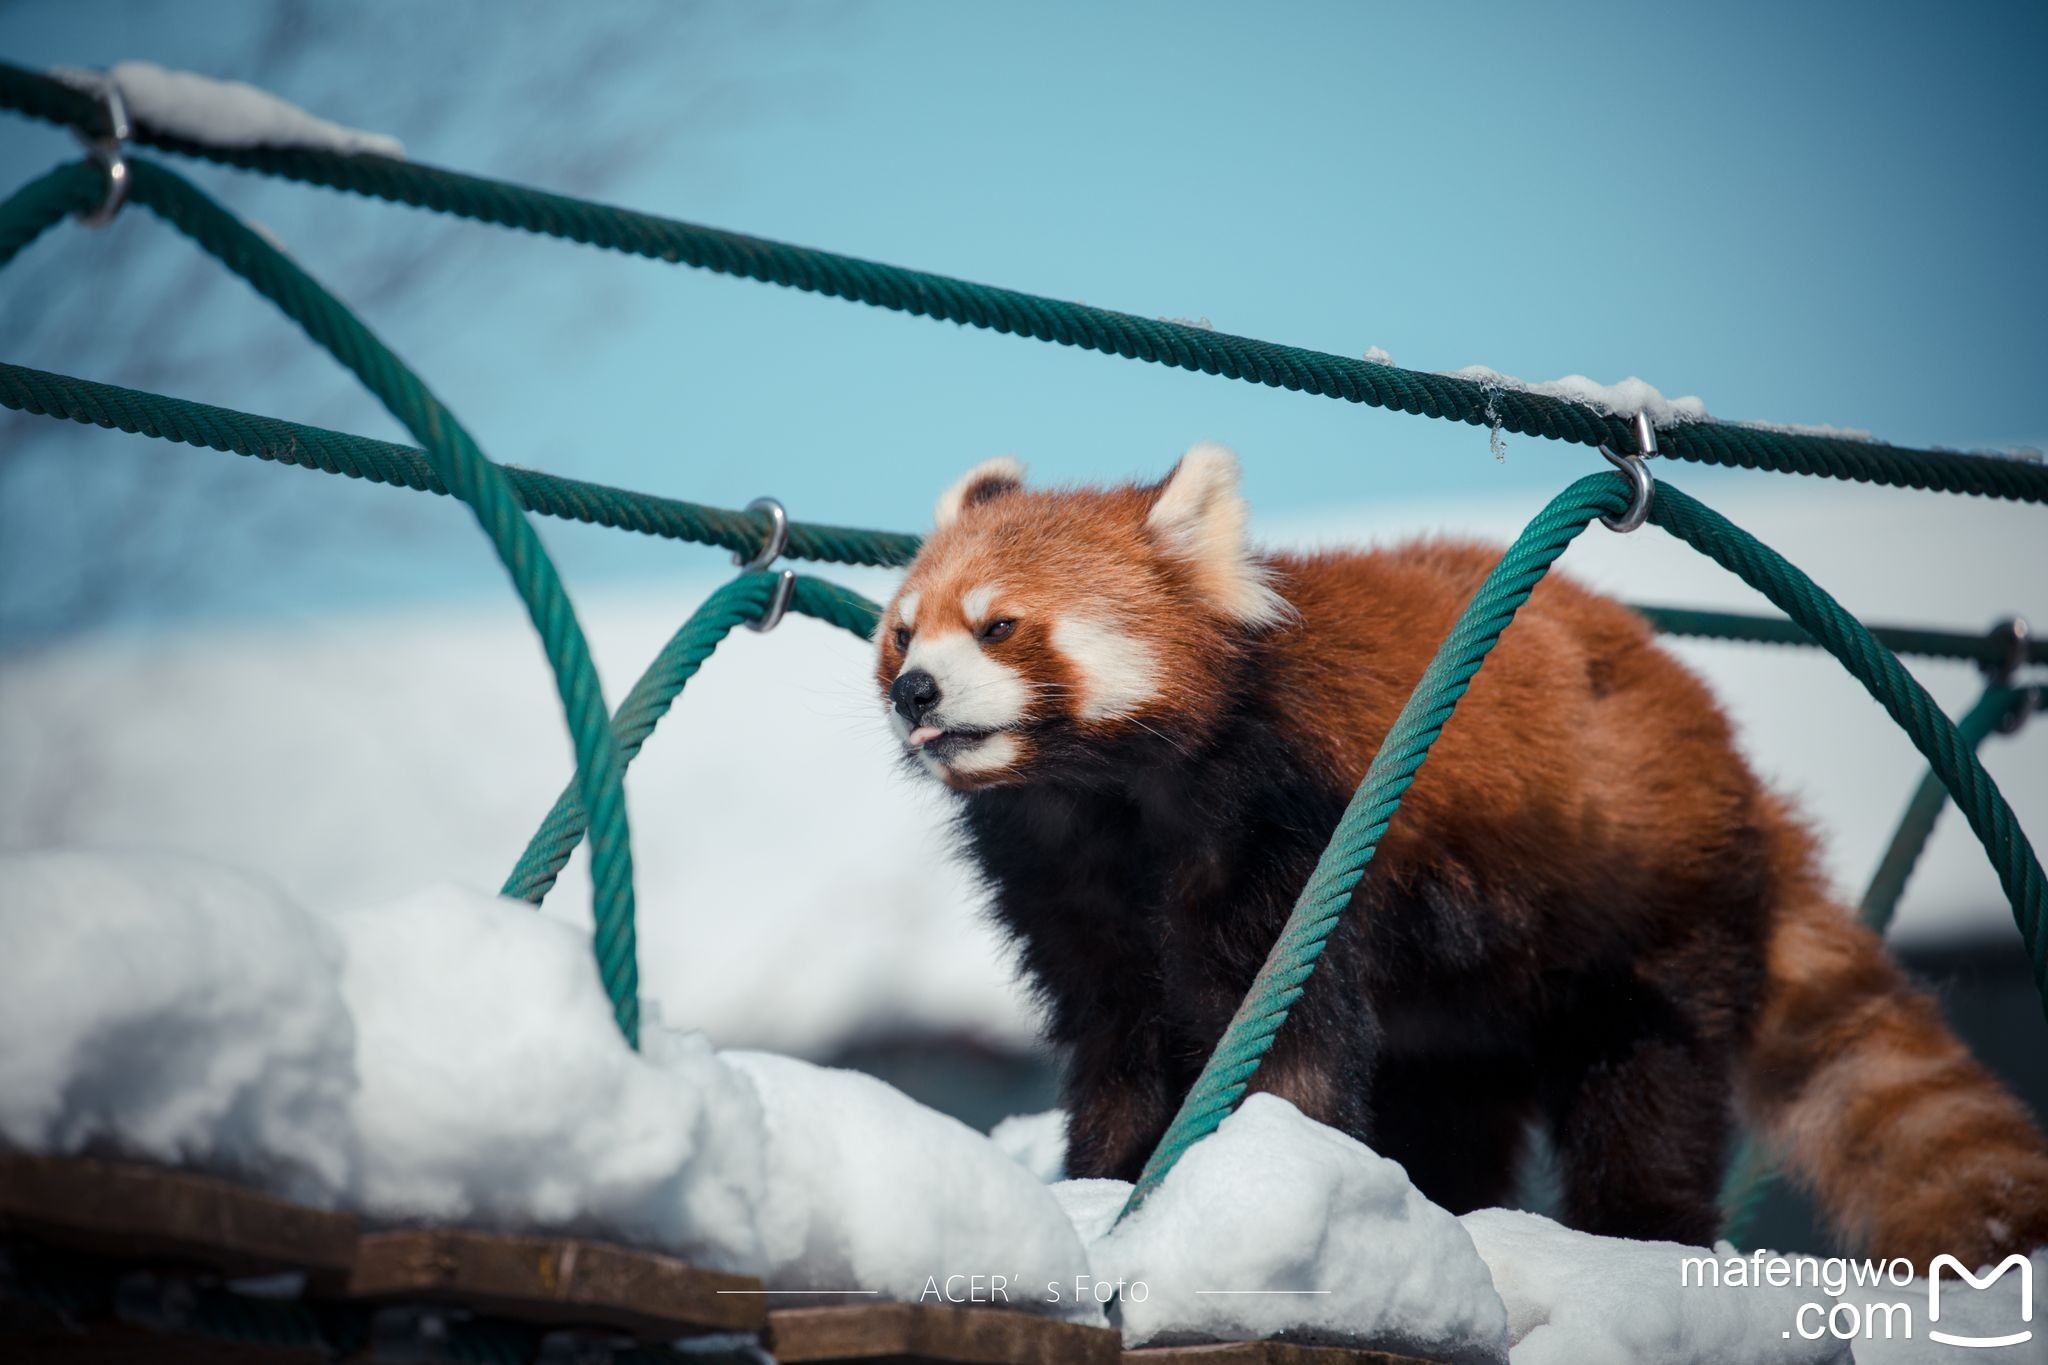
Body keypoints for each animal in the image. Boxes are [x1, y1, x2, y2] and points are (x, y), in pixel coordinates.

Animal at [876, 446, 2048, 1268]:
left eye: (998, 626)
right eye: (903, 631)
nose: (914, 691)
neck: (1110, 805)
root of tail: (1732, 762)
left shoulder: (1289, 835)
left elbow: (1286, 1037)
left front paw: (1264, 1168)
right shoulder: (1071, 897)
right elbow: (1116, 1041)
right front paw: (1105, 1178)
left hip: (1642, 907)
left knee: (1647, 1080)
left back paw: (1639, 1224)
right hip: (1469, 996)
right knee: (1455, 1095)